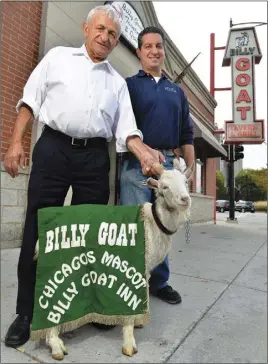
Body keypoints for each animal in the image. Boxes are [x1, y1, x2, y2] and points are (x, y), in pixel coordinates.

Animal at [32, 158, 194, 360]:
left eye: (186, 182)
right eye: (164, 186)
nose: (185, 199)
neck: (152, 223)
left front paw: (139, 320)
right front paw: (129, 343)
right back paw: (56, 345)